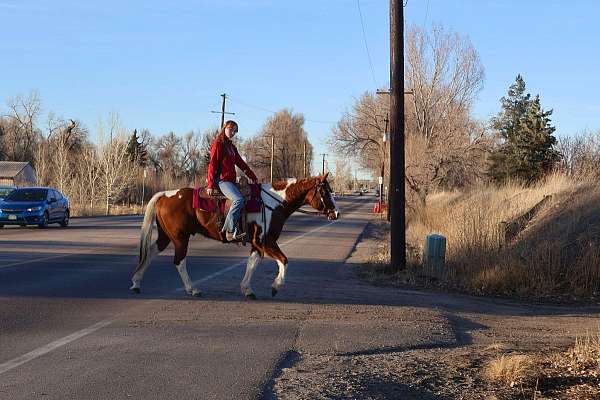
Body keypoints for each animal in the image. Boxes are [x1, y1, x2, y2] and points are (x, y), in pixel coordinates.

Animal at [129, 173, 340, 298]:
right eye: (325, 191)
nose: (336, 213)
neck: (274, 203)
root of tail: (165, 195)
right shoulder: (266, 241)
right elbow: (284, 260)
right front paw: (275, 286)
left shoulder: (257, 244)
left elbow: (252, 264)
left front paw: (247, 289)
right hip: (180, 238)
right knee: (179, 261)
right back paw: (192, 289)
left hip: (165, 237)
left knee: (149, 253)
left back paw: (136, 283)